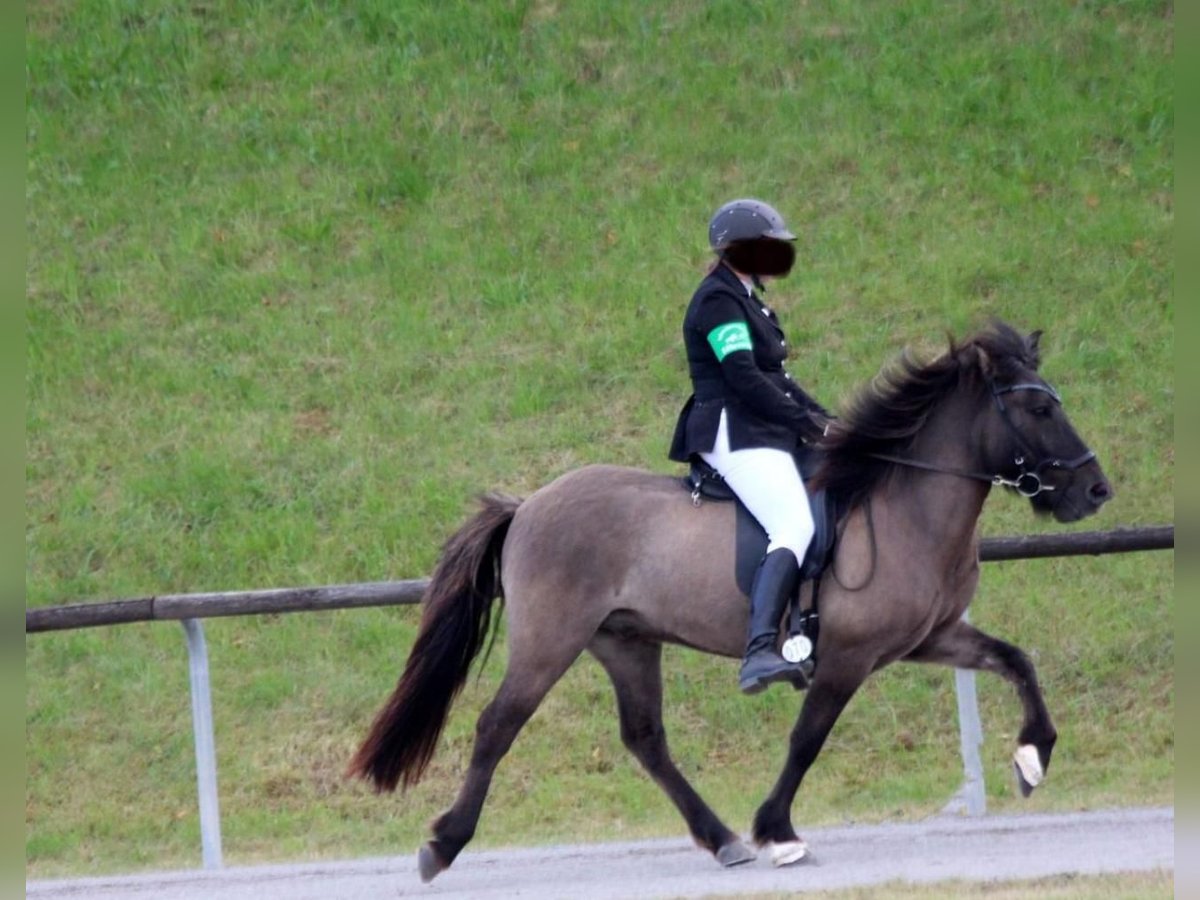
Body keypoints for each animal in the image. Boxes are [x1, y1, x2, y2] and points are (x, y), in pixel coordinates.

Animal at [350, 321, 1113, 883]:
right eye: (1041, 408)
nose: (1095, 491)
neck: (904, 505)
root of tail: (528, 505)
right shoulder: (849, 656)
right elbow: (807, 739)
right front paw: (777, 829)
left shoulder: (930, 637)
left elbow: (1016, 661)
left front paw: (1033, 758)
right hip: (549, 641)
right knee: (496, 727)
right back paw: (443, 844)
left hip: (625, 641)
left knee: (645, 739)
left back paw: (720, 840)